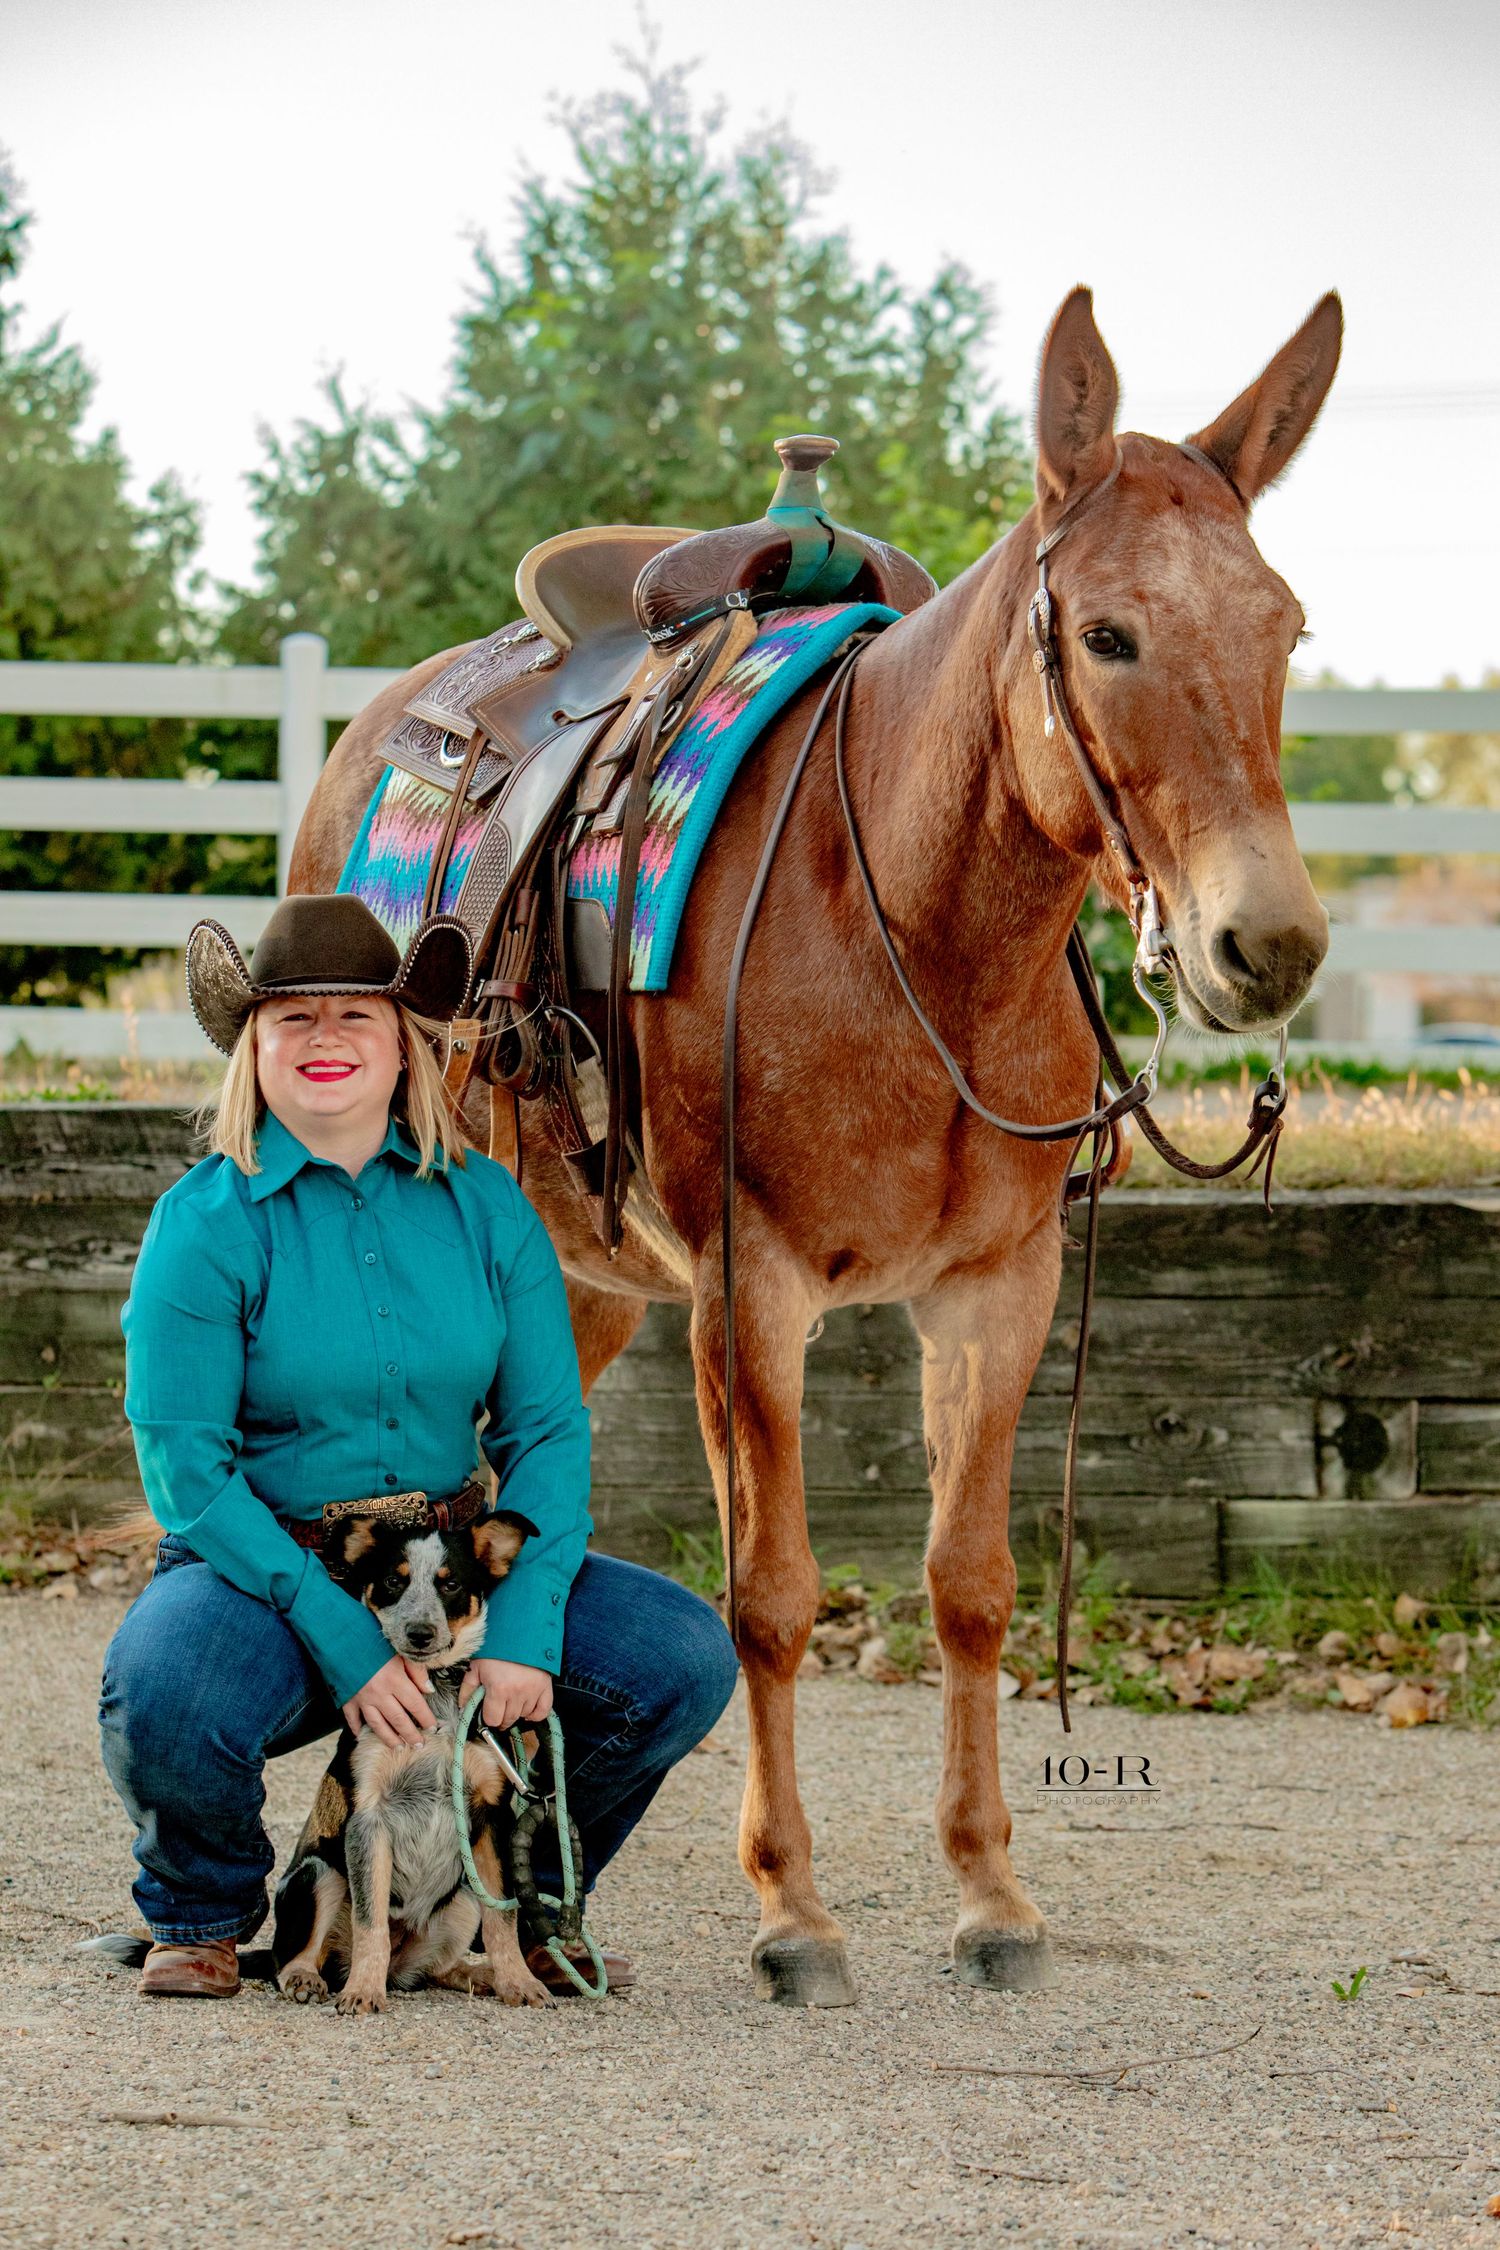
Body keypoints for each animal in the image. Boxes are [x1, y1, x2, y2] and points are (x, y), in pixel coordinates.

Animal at [290, 287, 1340, 2006]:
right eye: (1106, 634)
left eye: (1287, 630)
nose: (1270, 944)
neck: (913, 923)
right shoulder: (750, 1294)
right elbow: (771, 1599)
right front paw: (792, 1910)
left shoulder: (999, 1289)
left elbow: (969, 1587)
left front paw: (990, 1892)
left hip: (576, 1280)